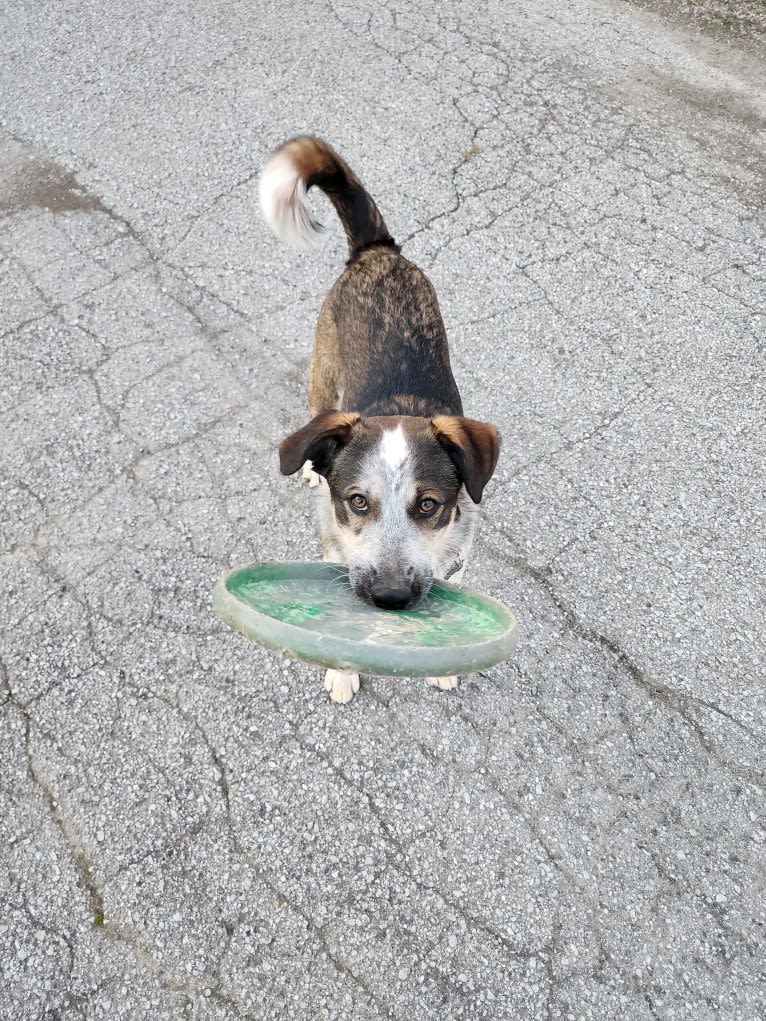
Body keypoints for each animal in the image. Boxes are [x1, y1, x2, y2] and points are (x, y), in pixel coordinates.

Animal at [258, 137, 500, 702]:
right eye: (357, 501)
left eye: (429, 505)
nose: (390, 597)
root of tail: (378, 251)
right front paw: (343, 671)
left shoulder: (458, 558)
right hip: (322, 375)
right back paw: (309, 464)